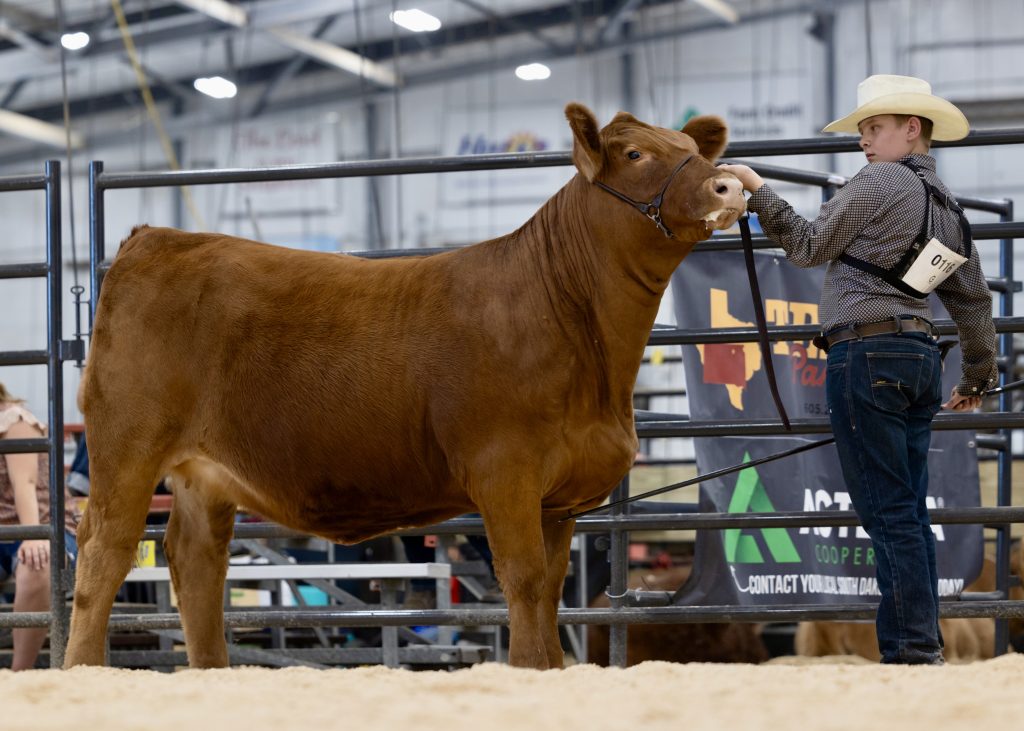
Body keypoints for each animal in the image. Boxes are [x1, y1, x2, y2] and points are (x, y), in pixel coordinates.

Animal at [63, 102, 745, 670]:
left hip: (203, 473)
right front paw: (529, 671)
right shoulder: (505, 471)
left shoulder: (560, 498)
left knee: (196, 562)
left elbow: (551, 589)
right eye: (633, 154)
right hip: (126, 444)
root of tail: (155, 239)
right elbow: (523, 580)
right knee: (104, 550)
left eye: (692, 146)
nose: (728, 183)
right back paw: (83, 671)